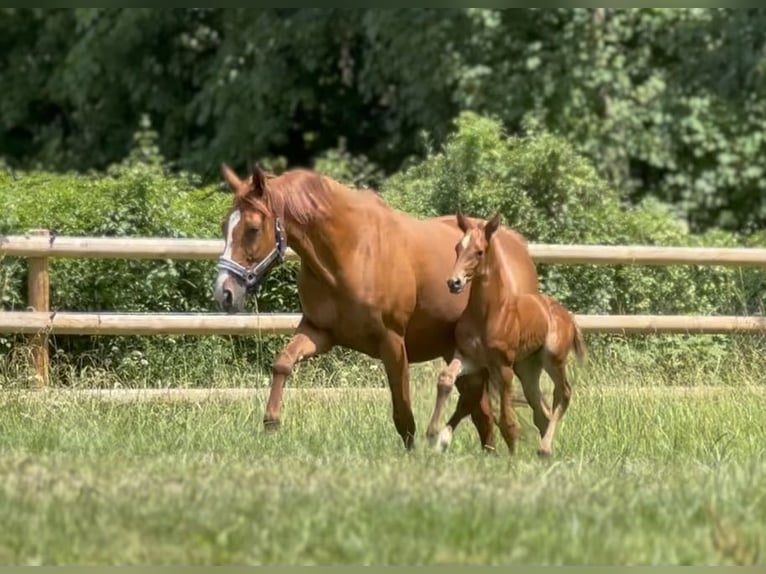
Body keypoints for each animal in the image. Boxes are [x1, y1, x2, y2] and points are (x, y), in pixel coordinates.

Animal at [212, 163, 539, 451]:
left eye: (253, 228)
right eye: (225, 226)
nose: (224, 292)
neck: (351, 250)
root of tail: (517, 247)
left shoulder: (392, 342)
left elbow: (403, 411)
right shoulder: (319, 332)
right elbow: (282, 362)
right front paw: (271, 422)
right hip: (461, 354)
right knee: (481, 412)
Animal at [425, 212, 586, 457]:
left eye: (479, 251)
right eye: (457, 247)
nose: (454, 282)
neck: (489, 314)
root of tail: (567, 315)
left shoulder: (503, 367)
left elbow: (507, 419)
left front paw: (512, 456)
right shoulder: (469, 358)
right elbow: (445, 379)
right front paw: (434, 434)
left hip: (553, 359)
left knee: (563, 393)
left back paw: (545, 449)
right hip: (528, 367)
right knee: (541, 409)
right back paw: (544, 452)